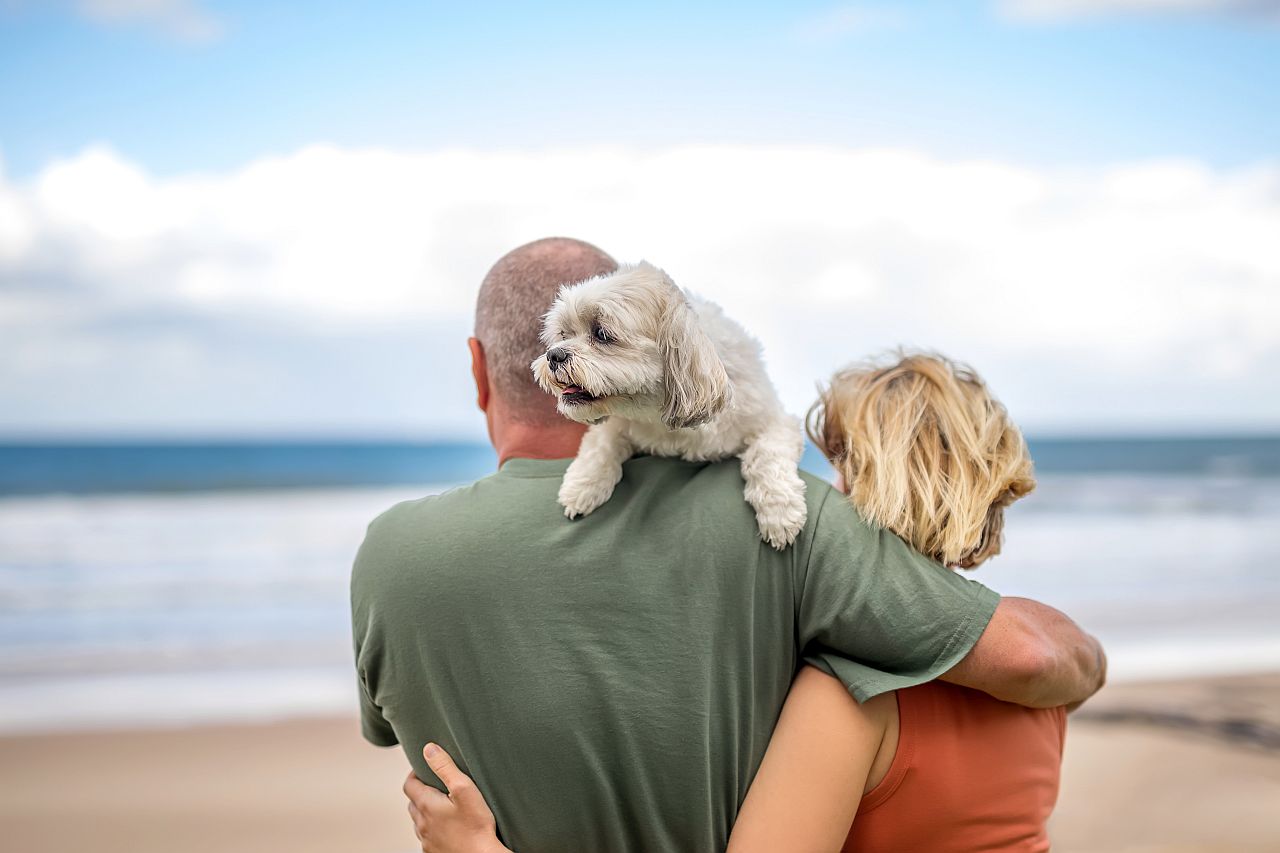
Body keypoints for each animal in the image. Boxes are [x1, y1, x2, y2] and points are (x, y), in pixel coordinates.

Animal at [529, 262, 808, 548]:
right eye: (564, 334)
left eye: (602, 333)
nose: (554, 355)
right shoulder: (616, 424)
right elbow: (601, 445)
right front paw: (582, 486)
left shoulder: (773, 420)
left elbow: (767, 454)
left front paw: (779, 513)